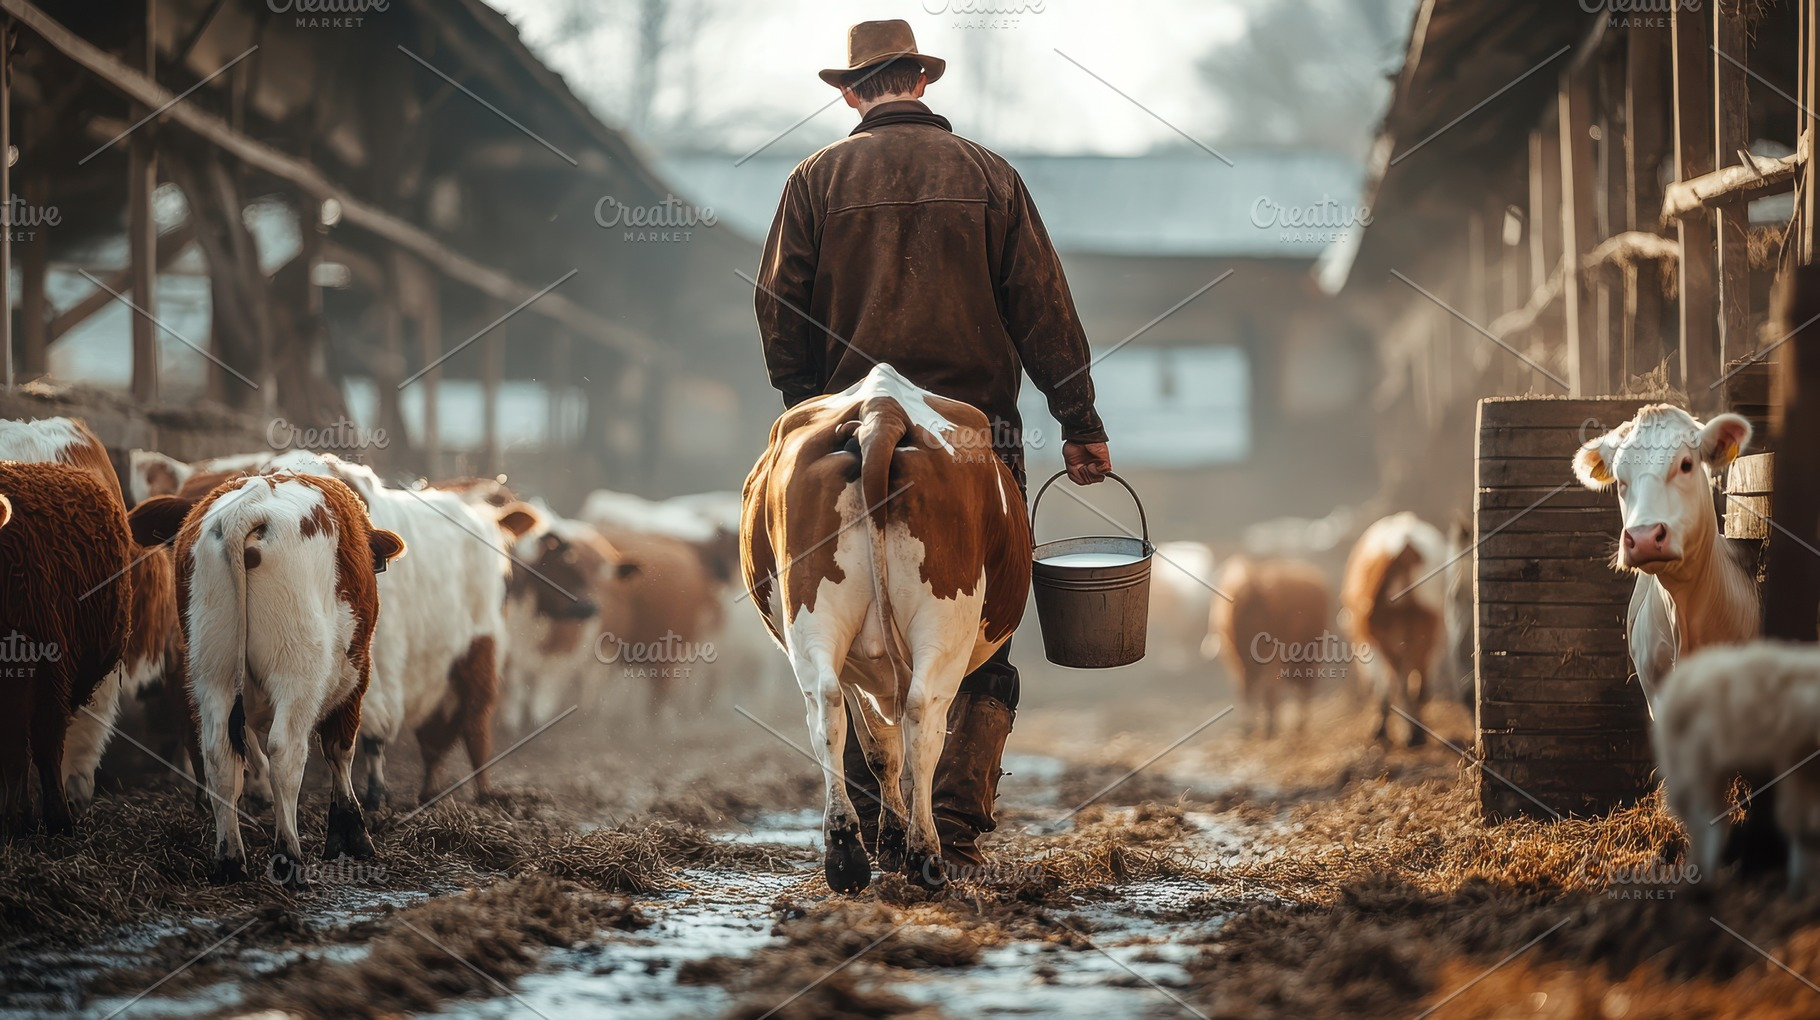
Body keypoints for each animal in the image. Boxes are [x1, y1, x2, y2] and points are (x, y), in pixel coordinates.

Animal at [130, 472, 405, 883]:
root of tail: (249, 506)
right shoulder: (354, 678)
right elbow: (340, 750)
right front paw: (350, 834)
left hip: (214, 672)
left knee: (220, 755)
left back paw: (230, 860)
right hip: (297, 675)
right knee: (286, 753)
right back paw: (289, 857)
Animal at [741, 363, 1031, 892]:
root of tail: (881, 410)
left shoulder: (856, 667)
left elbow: (876, 748)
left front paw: (887, 839)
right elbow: (892, 747)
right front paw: (898, 841)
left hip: (813, 618)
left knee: (827, 711)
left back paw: (845, 852)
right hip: (945, 624)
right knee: (924, 721)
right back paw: (925, 854)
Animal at [1341, 512, 1450, 746]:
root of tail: (1404, 546)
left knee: (1402, 677)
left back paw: (1405, 733)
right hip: (1431, 625)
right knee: (1419, 678)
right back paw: (1414, 732)